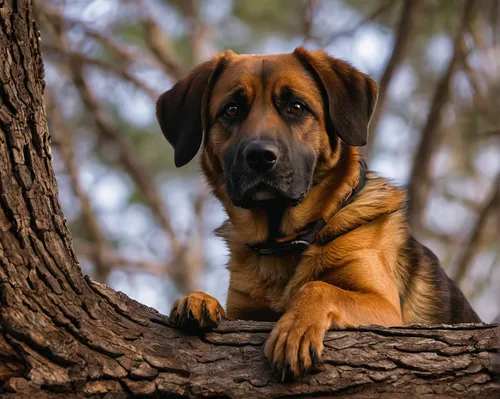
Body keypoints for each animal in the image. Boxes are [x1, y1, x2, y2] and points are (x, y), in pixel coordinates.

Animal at [155, 48, 480, 380]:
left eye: (296, 107)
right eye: (231, 110)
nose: (259, 157)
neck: (287, 243)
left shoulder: (386, 309)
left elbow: (319, 287)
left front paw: (294, 330)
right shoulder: (245, 311)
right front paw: (198, 299)